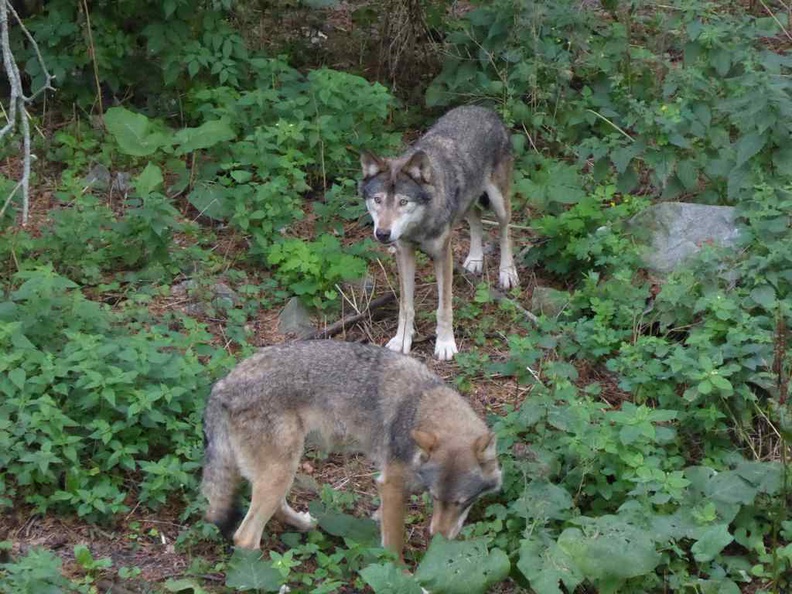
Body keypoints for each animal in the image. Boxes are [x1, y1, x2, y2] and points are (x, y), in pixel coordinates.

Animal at [203, 338, 502, 560]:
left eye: (462, 502)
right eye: (436, 498)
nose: (438, 538)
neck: (419, 404)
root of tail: (222, 386)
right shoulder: (392, 486)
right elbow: (394, 547)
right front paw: (405, 577)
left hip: (281, 470)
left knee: (275, 508)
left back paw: (305, 523)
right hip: (281, 470)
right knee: (245, 538)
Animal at [358, 104, 520, 358]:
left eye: (403, 202)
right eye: (377, 200)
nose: (383, 234)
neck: (419, 227)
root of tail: (482, 108)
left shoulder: (443, 255)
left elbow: (444, 307)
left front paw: (445, 344)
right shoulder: (404, 252)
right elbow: (406, 306)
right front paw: (401, 340)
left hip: (499, 203)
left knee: (505, 233)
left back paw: (507, 273)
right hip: (468, 202)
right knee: (476, 220)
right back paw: (475, 260)